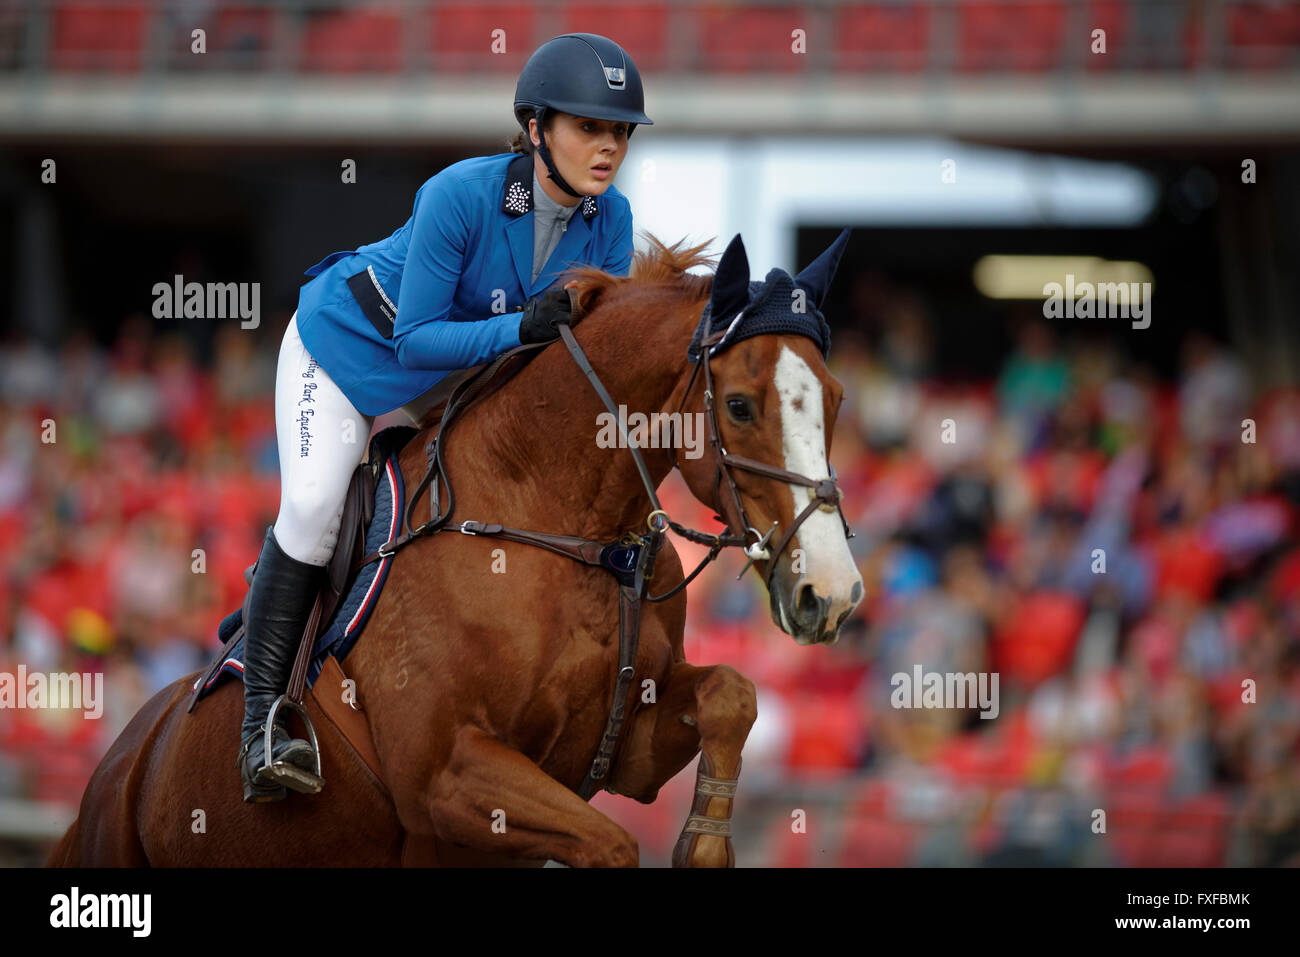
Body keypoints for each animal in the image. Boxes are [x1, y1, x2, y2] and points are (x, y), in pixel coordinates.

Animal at [50, 230, 863, 868]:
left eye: (836, 398)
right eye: (740, 406)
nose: (831, 593)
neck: (567, 522)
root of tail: (117, 770)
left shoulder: (626, 750)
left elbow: (733, 692)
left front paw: (703, 845)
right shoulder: (447, 776)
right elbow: (609, 844)